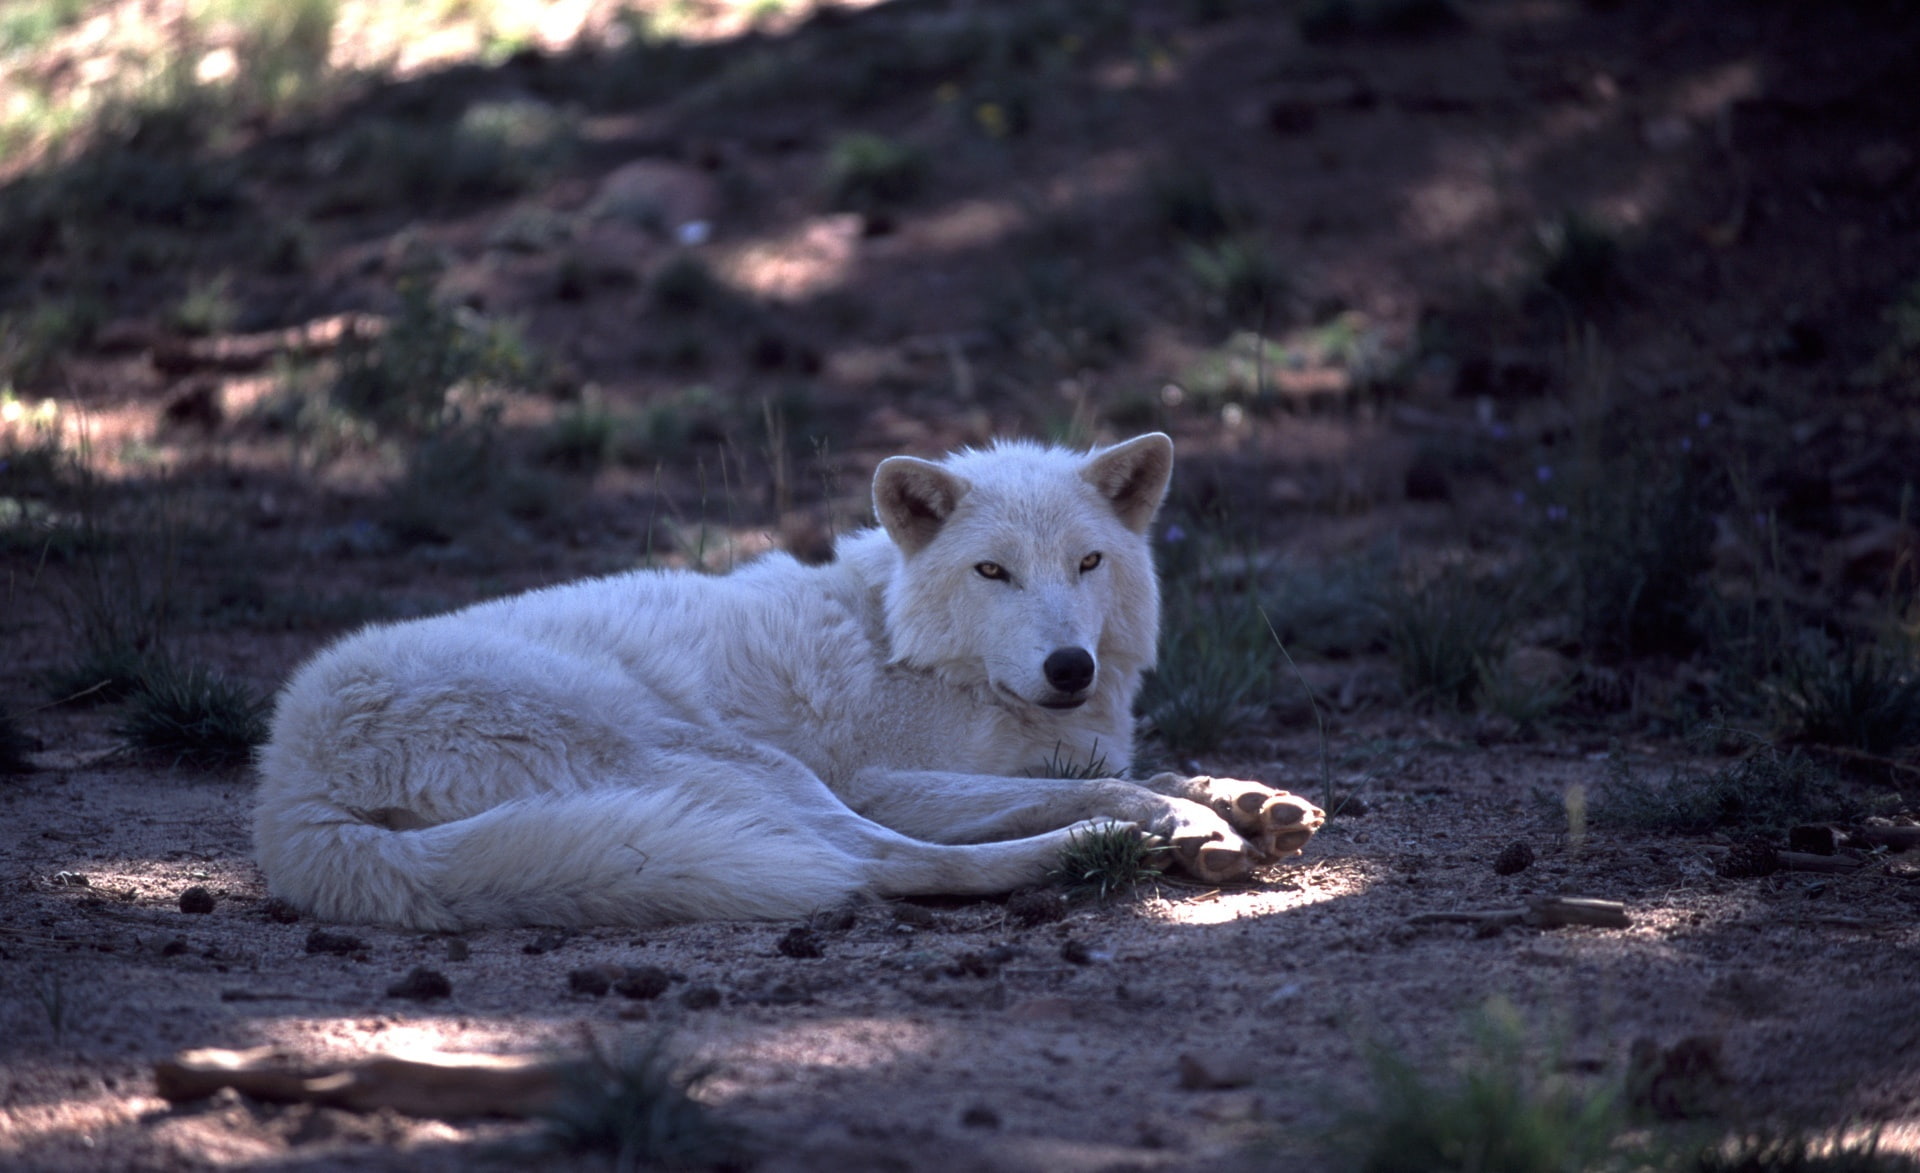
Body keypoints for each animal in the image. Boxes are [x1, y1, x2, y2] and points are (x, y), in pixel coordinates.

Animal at [253, 432, 1323, 929]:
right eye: (993, 571)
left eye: (1089, 562)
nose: (1071, 666)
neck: (906, 640)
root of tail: (287, 791)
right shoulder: (885, 778)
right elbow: (1106, 784)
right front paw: (1191, 824)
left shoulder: (1064, 743)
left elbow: (1147, 766)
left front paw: (1246, 799)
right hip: (741, 764)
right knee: (877, 864)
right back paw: (1092, 850)